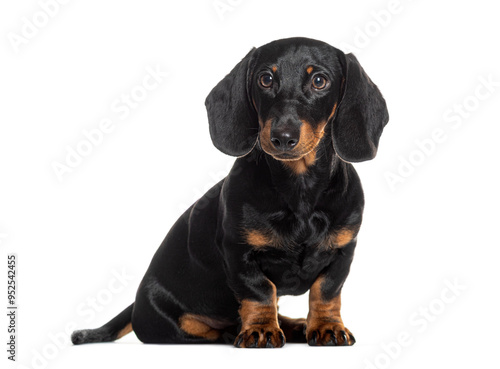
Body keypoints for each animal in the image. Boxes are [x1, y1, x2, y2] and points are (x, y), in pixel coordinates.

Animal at [72, 36, 388, 346]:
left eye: (320, 81)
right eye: (265, 79)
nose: (283, 137)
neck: (299, 188)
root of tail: (136, 306)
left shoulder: (343, 251)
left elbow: (326, 292)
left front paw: (326, 326)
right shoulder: (239, 253)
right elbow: (260, 292)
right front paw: (260, 329)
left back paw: (295, 326)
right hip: (174, 324)